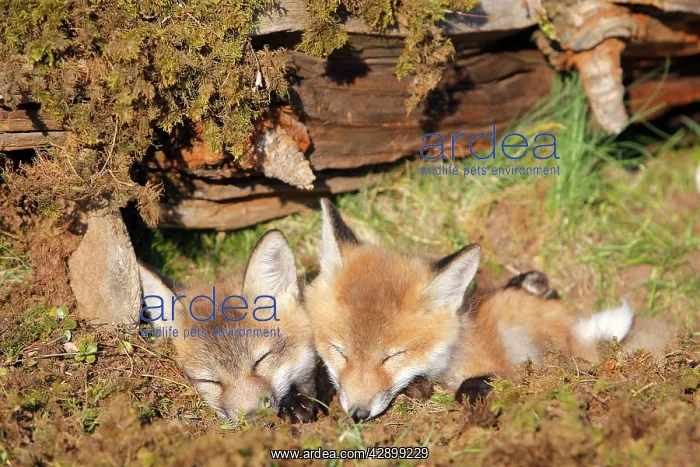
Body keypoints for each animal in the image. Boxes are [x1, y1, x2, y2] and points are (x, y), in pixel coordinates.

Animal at [304, 199, 635, 421]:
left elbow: (476, 383)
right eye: (340, 351)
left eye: (393, 356)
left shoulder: (497, 366)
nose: (357, 413)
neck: (445, 363)